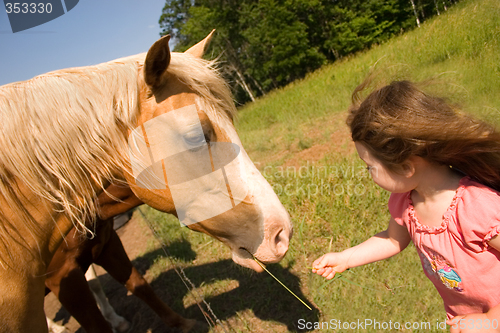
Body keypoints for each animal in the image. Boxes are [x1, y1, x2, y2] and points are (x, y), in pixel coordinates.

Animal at [0, 31, 292, 332]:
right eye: (195, 136)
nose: (282, 233)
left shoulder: (107, 247)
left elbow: (138, 283)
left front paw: (182, 323)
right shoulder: (64, 278)